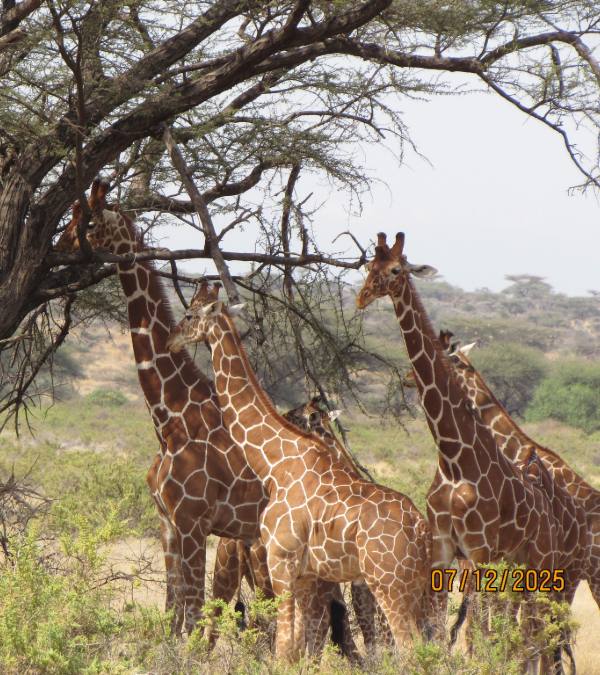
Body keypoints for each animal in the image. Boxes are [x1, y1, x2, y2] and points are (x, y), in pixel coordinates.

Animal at [56, 180, 269, 635]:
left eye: (89, 222)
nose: (62, 247)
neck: (169, 421)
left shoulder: (192, 524)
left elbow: (190, 614)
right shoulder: (167, 523)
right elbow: (172, 615)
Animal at [166, 282, 434, 661]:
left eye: (190, 314)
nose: (170, 341)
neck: (275, 465)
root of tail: (420, 530)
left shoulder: (282, 564)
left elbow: (283, 647)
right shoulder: (306, 576)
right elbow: (298, 646)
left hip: (387, 582)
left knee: (409, 648)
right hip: (414, 587)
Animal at [356, 232, 590, 671]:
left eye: (395, 269)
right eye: (368, 267)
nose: (362, 297)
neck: (452, 458)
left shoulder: (480, 551)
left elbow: (479, 632)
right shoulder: (443, 548)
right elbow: (436, 627)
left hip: (544, 566)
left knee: (536, 631)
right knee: (527, 629)